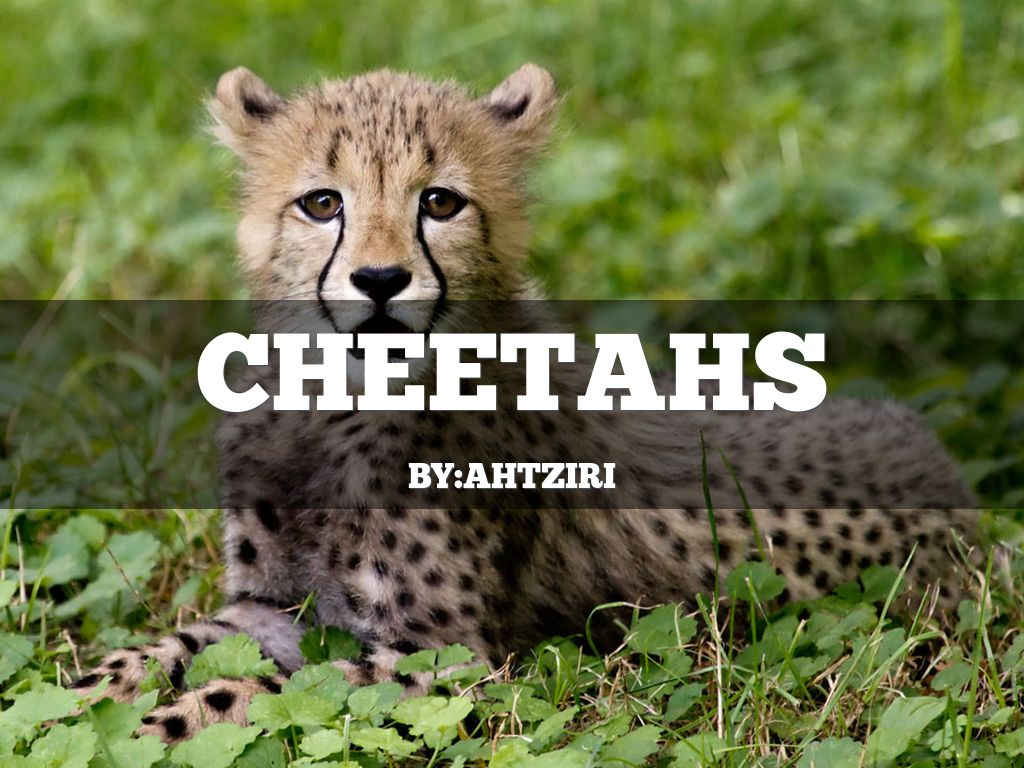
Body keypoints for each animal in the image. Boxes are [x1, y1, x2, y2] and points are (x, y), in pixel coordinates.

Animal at [69, 63, 977, 743]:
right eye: (323, 202)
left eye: (439, 201)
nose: (379, 279)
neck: (330, 399)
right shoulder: (267, 607)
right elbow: (166, 649)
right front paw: (82, 703)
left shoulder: (445, 656)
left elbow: (260, 694)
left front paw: (150, 730)